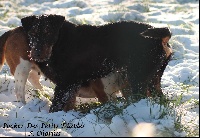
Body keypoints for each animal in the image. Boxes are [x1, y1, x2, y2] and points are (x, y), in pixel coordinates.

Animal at [19, 14, 172, 112]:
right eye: (32, 33)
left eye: (48, 32)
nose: (36, 54)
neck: (60, 41)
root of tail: (162, 38)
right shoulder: (71, 84)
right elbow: (68, 103)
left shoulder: (66, 82)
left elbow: (57, 105)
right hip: (153, 77)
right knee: (159, 98)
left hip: (138, 76)